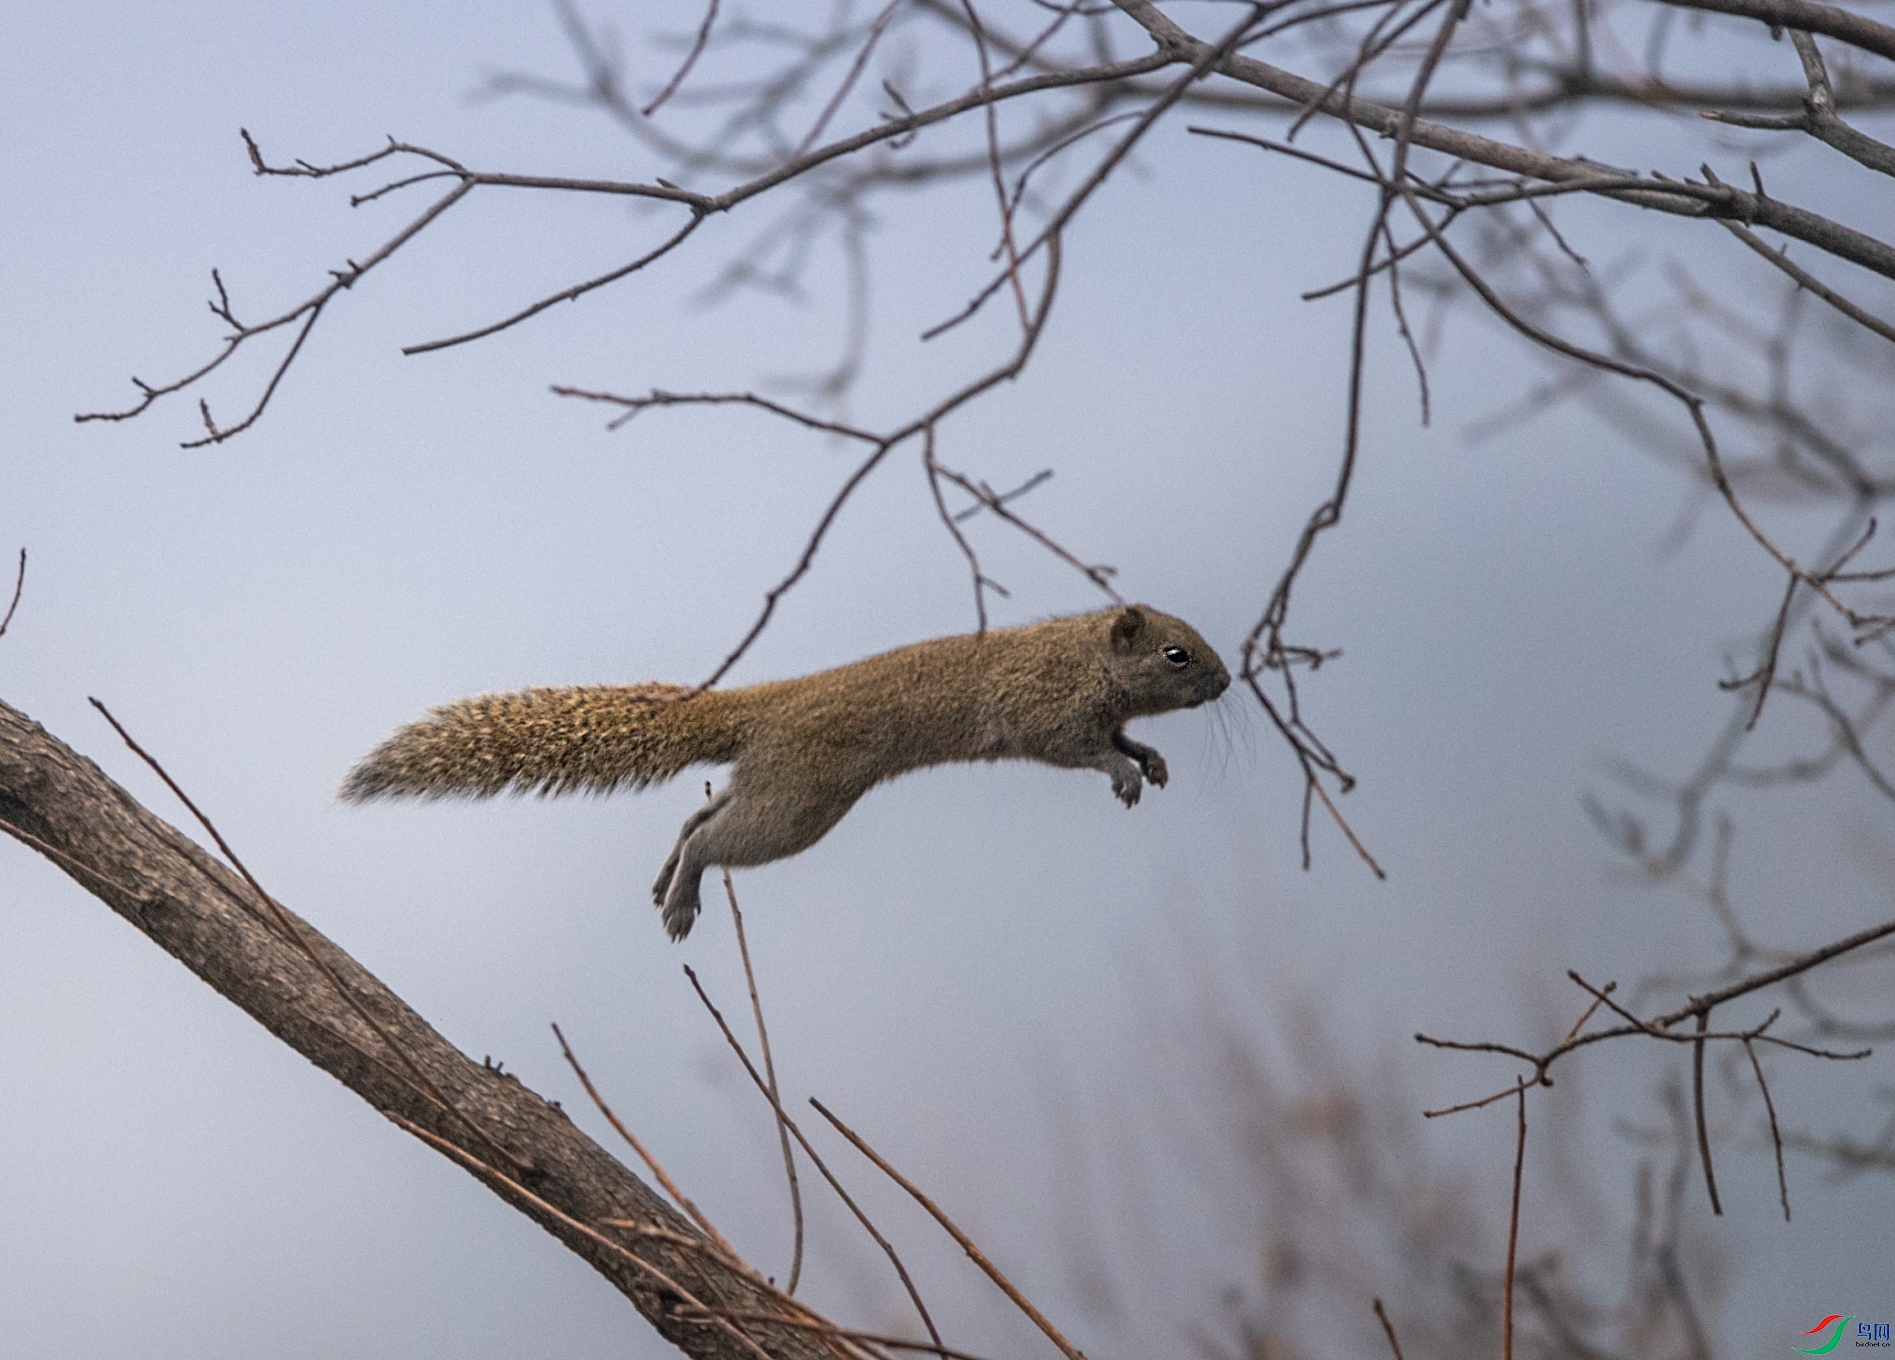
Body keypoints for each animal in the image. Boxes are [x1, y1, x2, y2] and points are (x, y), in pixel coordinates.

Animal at [339, 606, 1227, 939]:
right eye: (1175, 654)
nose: (1225, 682)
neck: (1080, 652)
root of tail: (767, 707)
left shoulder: (1097, 712)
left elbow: (1122, 738)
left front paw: (1150, 760)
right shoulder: (1045, 712)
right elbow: (1083, 748)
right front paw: (1125, 773)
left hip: (768, 783)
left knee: (697, 818)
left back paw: (665, 880)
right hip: (799, 802)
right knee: (717, 838)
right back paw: (683, 901)